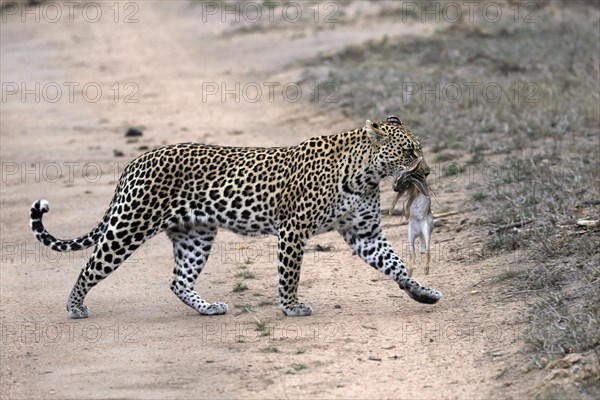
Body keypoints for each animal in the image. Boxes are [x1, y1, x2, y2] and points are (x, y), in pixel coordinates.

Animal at [29, 115, 440, 318]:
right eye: (409, 151)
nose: (426, 172)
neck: (364, 173)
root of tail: (135, 162)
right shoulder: (293, 229)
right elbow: (290, 273)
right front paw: (291, 307)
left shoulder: (364, 233)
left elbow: (395, 264)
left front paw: (421, 292)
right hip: (130, 225)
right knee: (91, 265)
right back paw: (75, 307)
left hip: (195, 235)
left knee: (179, 280)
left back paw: (208, 308)